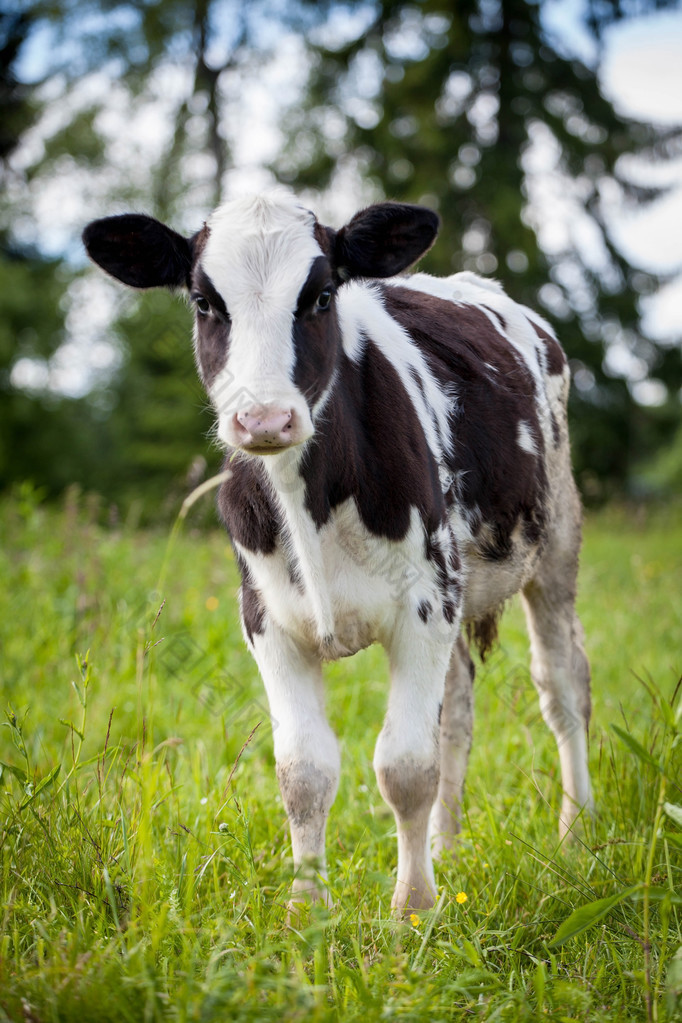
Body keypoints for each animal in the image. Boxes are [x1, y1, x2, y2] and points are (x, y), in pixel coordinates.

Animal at [82, 192, 593, 912]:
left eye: (321, 296)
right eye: (205, 301)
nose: (264, 419)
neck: (310, 499)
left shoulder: (425, 604)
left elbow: (405, 766)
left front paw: (413, 909)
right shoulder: (266, 620)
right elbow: (305, 771)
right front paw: (307, 909)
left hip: (555, 540)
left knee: (563, 684)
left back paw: (577, 833)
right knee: (458, 709)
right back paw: (449, 849)